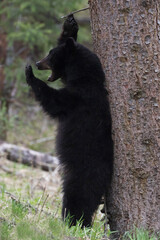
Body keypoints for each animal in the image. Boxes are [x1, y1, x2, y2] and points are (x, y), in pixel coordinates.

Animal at [25, 14, 113, 227]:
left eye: (50, 54)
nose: (38, 62)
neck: (87, 78)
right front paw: (70, 27)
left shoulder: (78, 99)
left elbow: (53, 102)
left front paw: (30, 75)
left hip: (83, 172)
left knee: (79, 197)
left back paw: (74, 222)